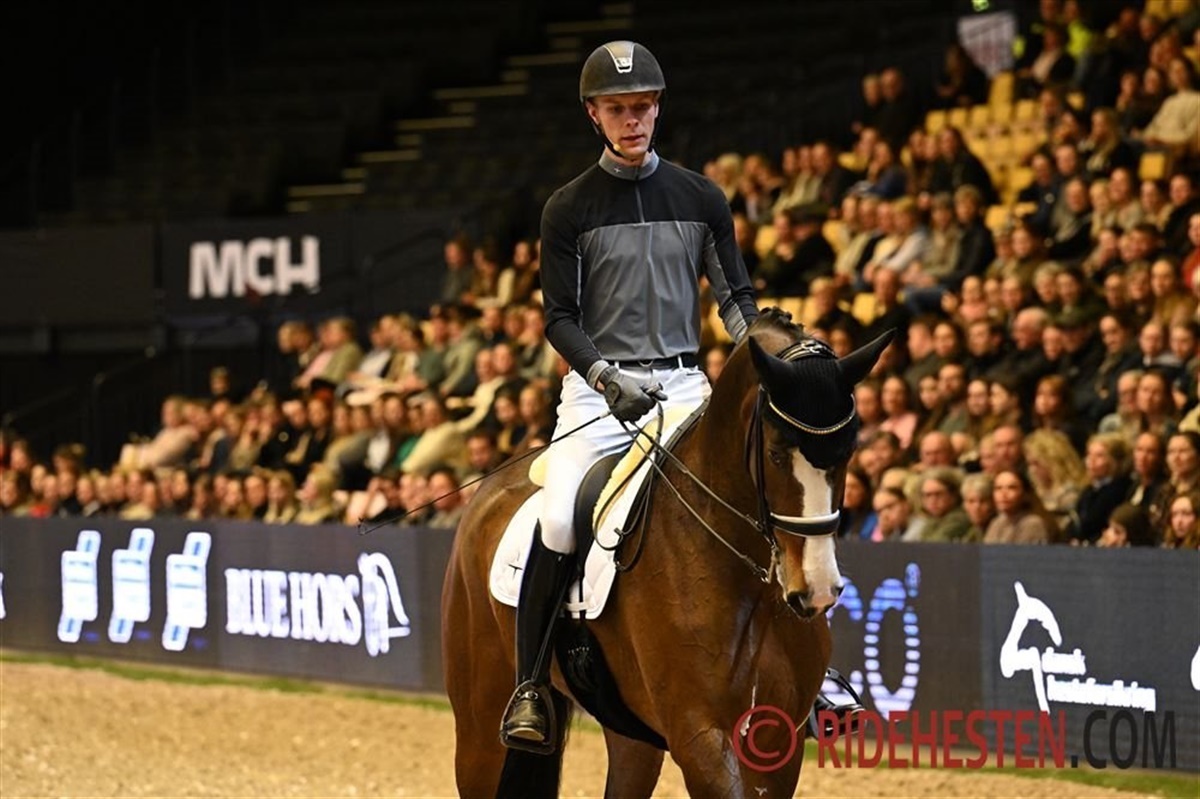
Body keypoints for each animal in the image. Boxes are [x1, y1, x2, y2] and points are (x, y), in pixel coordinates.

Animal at [442, 308, 894, 798]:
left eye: (848, 451)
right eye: (775, 454)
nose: (816, 590)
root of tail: (487, 490)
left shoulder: (779, 739)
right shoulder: (700, 736)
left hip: (629, 729)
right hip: (480, 727)